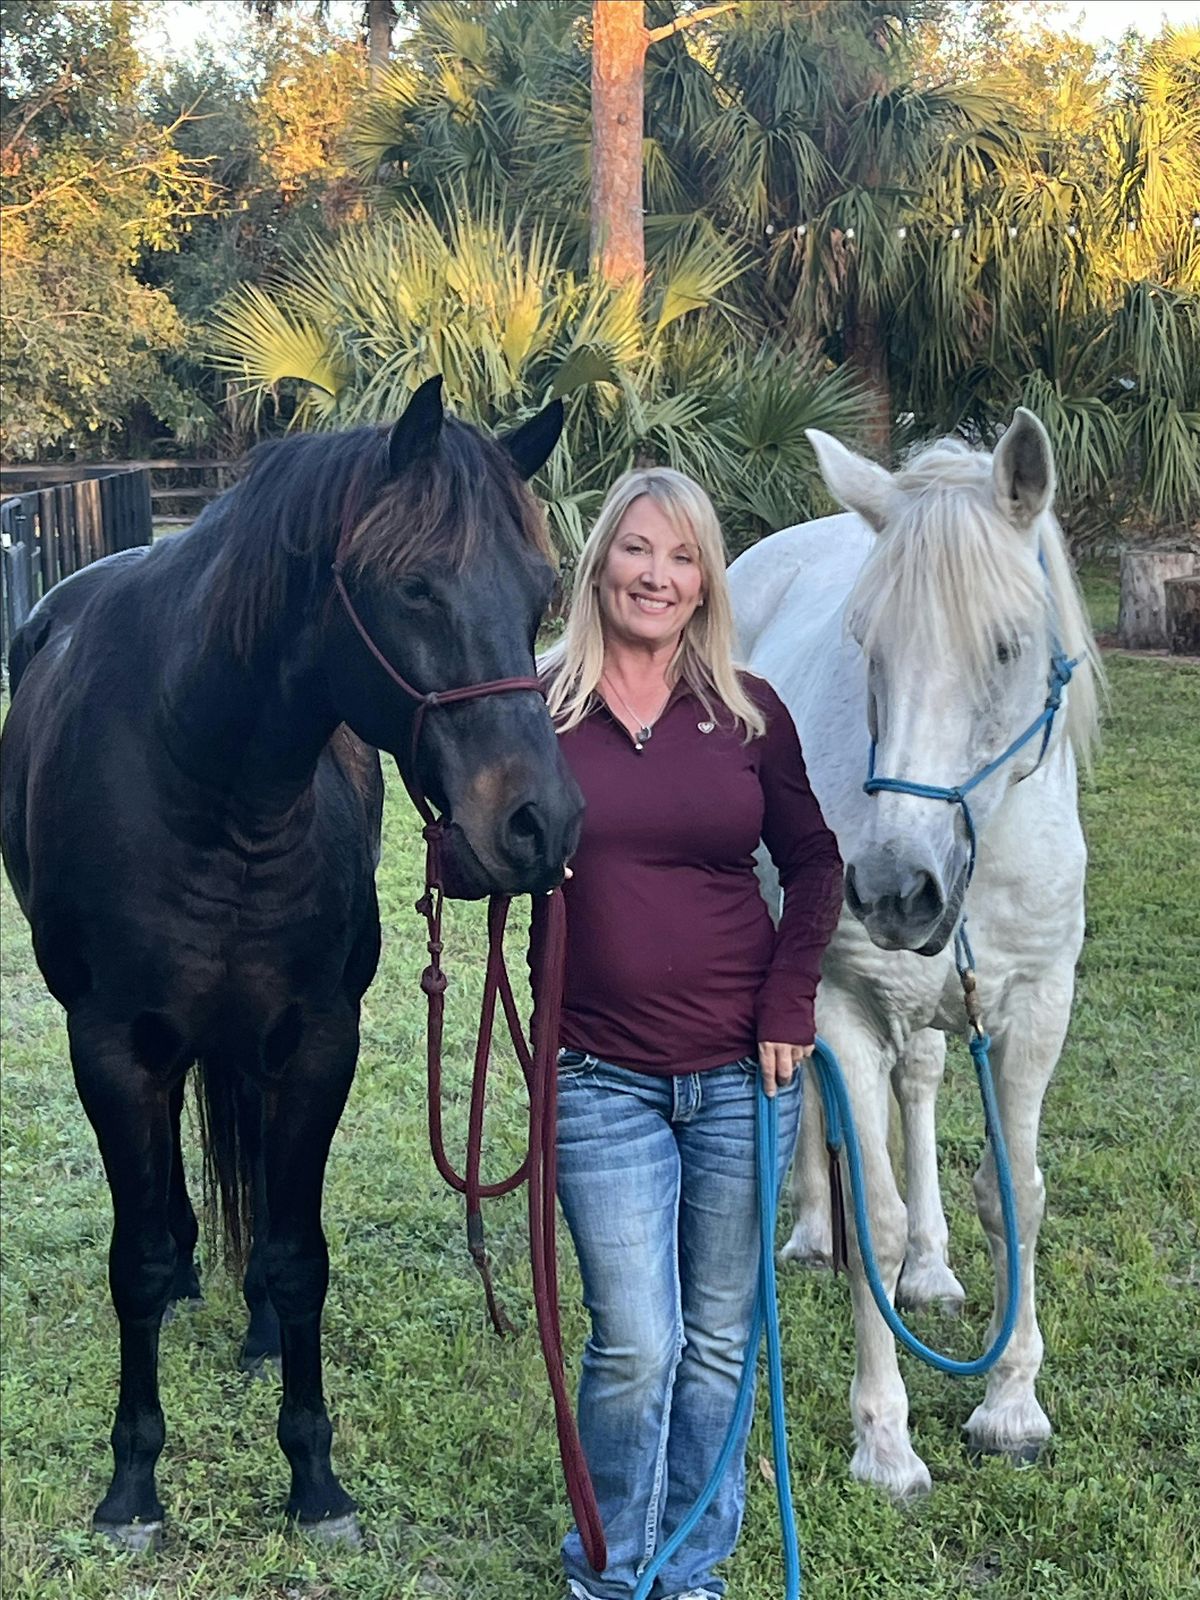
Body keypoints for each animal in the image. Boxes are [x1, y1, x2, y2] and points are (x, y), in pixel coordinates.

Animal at [0, 376, 583, 1550]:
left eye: (543, 595)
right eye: (414, 586)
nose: (538, 826)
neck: (211, 781)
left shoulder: (317, 1039)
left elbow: (299, 1252)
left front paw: (314, 1476)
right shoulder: (110, 1047)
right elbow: (134, 1259)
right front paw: (132, 1482)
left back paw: (256, 1320)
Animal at [728, 409, 1100, 1499]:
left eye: (1009, 646)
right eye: (866, 647)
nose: (897, 889)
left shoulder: (1036, 1005)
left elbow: (1018, 1197)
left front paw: (1011, 1405)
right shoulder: (843, 1001)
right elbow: (876, 1218)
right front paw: (885, 1440)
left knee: (925, 1081)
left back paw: (933, 1271)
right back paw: (815, 1232)